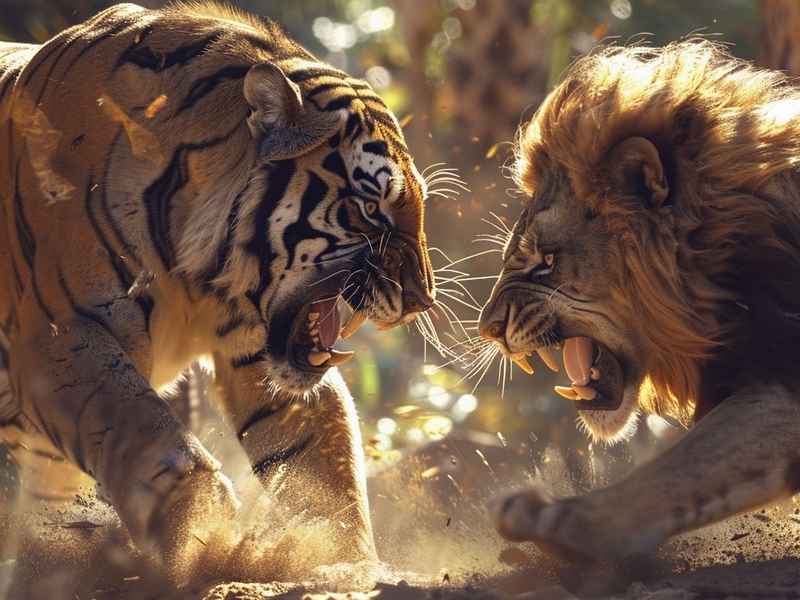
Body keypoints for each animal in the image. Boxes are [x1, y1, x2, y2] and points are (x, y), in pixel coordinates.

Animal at [0, 1, 435, 580]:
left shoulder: (260, 351)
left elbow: (323, 469)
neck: (195, 275)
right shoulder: (60, 334)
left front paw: (346, 561)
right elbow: (145, 428)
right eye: (370, 208)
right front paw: (199, 530)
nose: (421, 300)